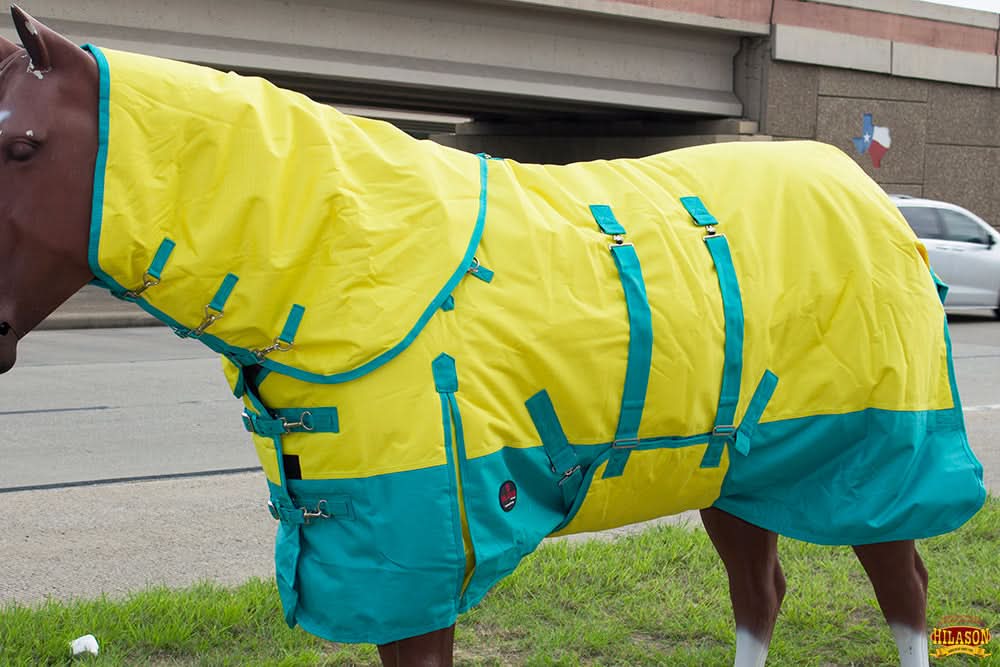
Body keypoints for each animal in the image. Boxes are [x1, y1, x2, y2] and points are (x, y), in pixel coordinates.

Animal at [0, 7, 986, 666]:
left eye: (20, 144)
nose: (0, 336)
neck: (348, 258)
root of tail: (871, 196)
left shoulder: (424, 558)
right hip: (732, 463)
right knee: (761, 590)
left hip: (872, 455)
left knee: (904, 589)